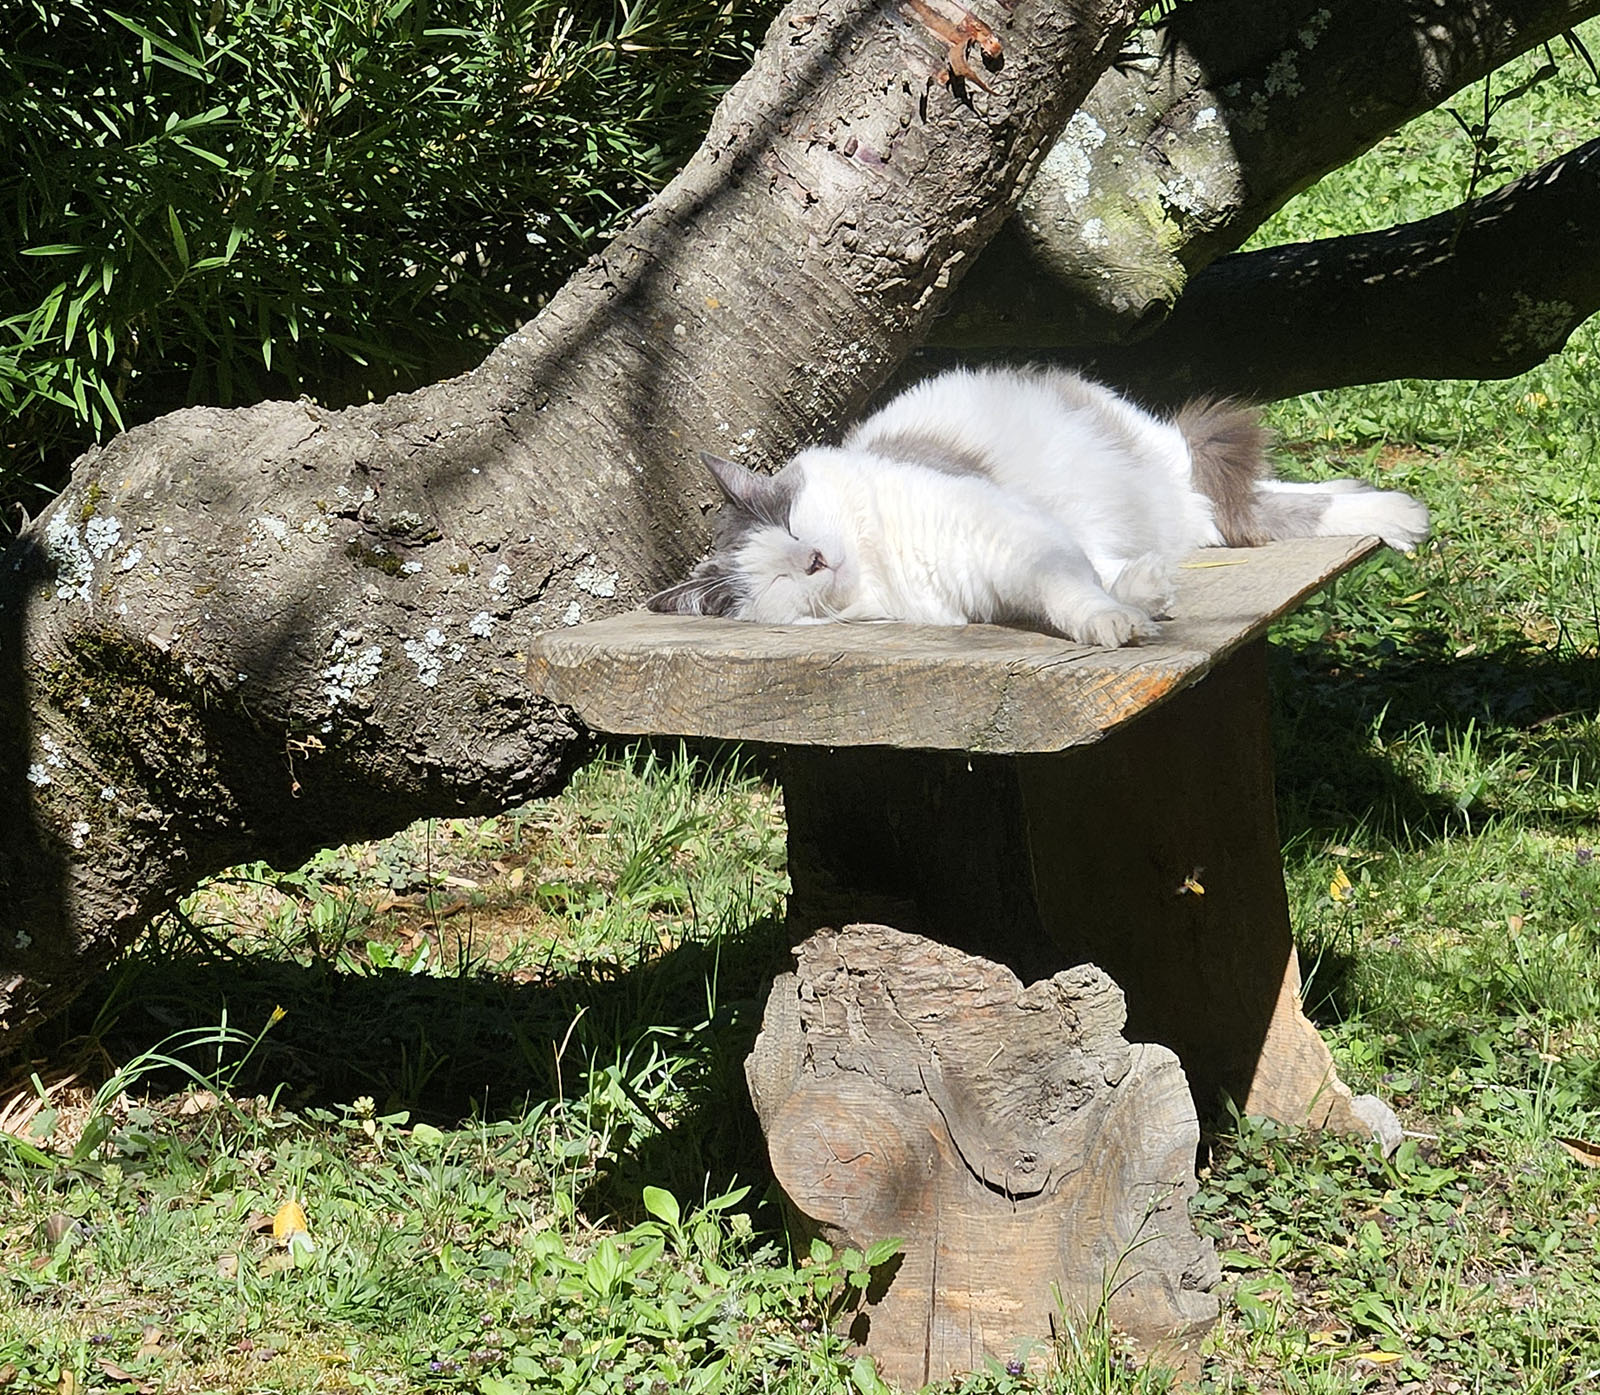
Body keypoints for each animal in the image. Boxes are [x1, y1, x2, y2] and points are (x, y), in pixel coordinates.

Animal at [643, 359, 1433, 643]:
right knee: (1254, 510)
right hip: (1183, 514)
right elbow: (1091, 574)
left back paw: (1397, 514)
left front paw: (1114, 623)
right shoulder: (996, 568)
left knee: (1268, 497)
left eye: (793, 523)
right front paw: (1141, 600)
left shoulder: (998, 528)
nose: (812, 559)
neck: (880, 567)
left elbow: (1069, 582)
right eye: (777, 576)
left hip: (1161, 460)